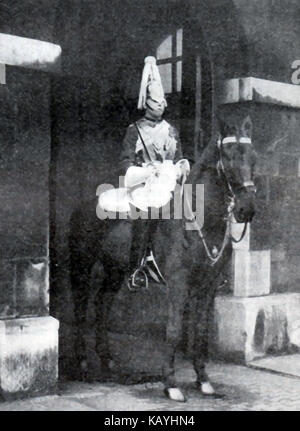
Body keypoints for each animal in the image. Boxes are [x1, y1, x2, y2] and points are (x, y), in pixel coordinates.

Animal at [69, 115, 256, 402]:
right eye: (228, 155)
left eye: (252, 156)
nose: (247, 209)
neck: (200, 220)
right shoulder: (179, 285)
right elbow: (174, 331)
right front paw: (171, 385)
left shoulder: (207, 287)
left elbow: (200, 332)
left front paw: (204, 380)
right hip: (83, 266)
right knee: (81, 307)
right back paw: (81, 363)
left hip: (116, 270)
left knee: (102, 304)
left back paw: (107, 360)